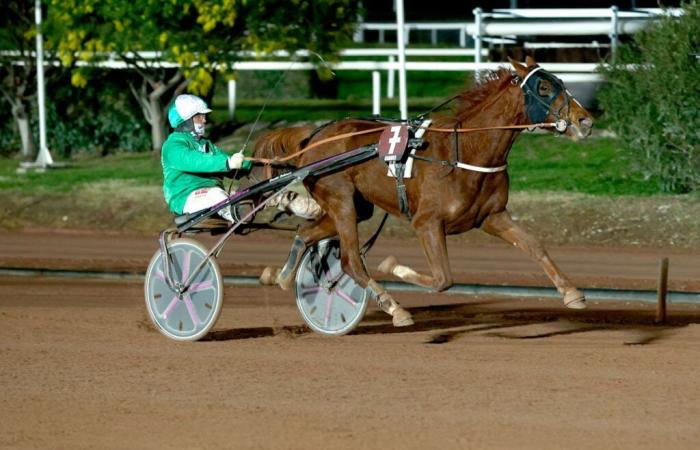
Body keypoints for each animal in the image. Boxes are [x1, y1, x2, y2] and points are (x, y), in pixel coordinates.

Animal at [252, 58, 592, 326]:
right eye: (543, 87)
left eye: (561, 82)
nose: (585, 120)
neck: (466, 150)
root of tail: (312, 137)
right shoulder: (427, 222)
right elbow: (443, 279)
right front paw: (394, 267)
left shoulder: (492, 216)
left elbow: (535, 246)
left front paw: (572, 293)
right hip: (341, 200)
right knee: (350, 261)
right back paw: (394, 308)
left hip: (356, 206)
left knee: (306, 233)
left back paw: (281, 276)